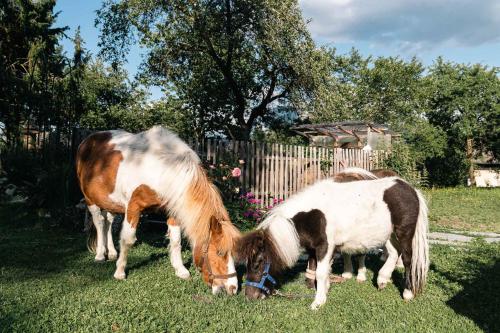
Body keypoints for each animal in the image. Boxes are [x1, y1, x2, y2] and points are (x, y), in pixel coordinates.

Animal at [77, 125, 241, 294]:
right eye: (220, 252)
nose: (233, 288)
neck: (162, 167)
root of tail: (88, 140)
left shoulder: (173, 209)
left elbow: (176, 241)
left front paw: (180, 270)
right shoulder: (133, 207)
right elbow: (128, 239)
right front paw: (120, 272)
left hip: (110, 201)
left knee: (108, 222)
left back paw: (111, 253)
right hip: (91, 200)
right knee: (99, 222)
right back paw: (100, 255)